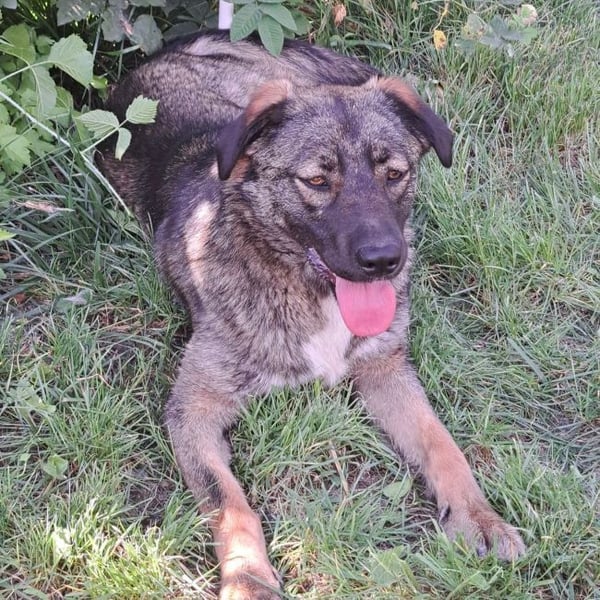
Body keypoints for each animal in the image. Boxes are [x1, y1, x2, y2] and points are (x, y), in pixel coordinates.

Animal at [98, 30, 525, 599]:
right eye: (318, 181)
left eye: (395, 173)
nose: (384, 261)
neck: (308, 289)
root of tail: (181, 48)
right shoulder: (193, 411)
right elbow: (230, 505)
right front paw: (249, 579)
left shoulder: (385, 368)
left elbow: (443, 445)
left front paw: (479, 518)